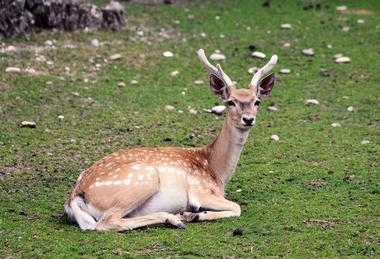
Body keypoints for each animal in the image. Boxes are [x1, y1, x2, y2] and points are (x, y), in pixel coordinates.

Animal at [64, 48, 280, 232]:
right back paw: (175, 218)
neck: (216, 171)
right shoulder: (200, 191)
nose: (248, 119)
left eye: (257, 101)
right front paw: (194, 215)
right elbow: (237, 207)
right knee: (106, 222)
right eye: (230, 102)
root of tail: (74, 199)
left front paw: (192, 215)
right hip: (144, 177)